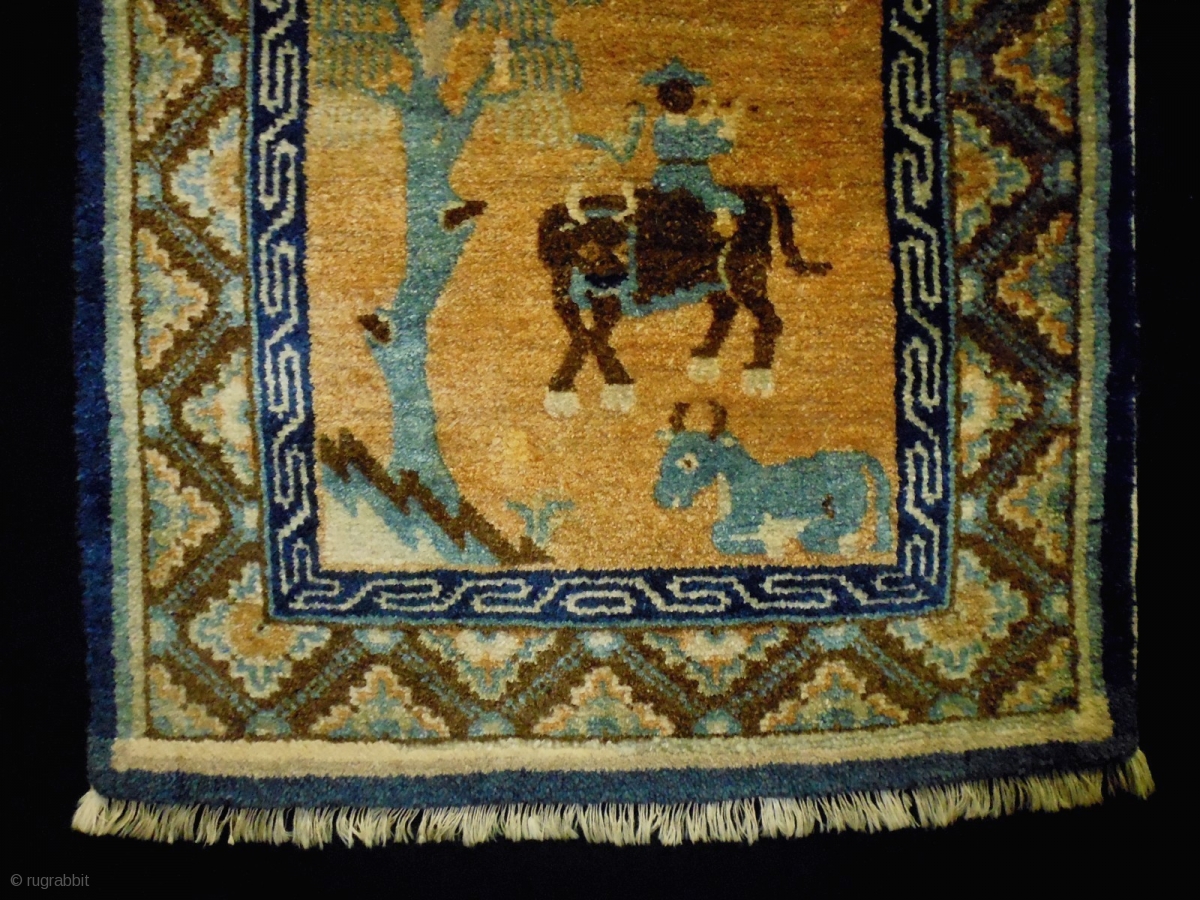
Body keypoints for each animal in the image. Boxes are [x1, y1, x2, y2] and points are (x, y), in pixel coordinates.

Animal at [536, 186, 830, 417]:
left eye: (623, 247)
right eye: (587, 248)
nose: (618, 280)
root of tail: (754, 191)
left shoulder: (608, 304)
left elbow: (593, 338)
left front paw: (615, 387)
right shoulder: (565, 300)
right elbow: (582, 336)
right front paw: (563, 389)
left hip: (743, 270)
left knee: (769, 319)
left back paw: (758, 373)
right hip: (710, 275)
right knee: (726, 309)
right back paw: (706, 357)